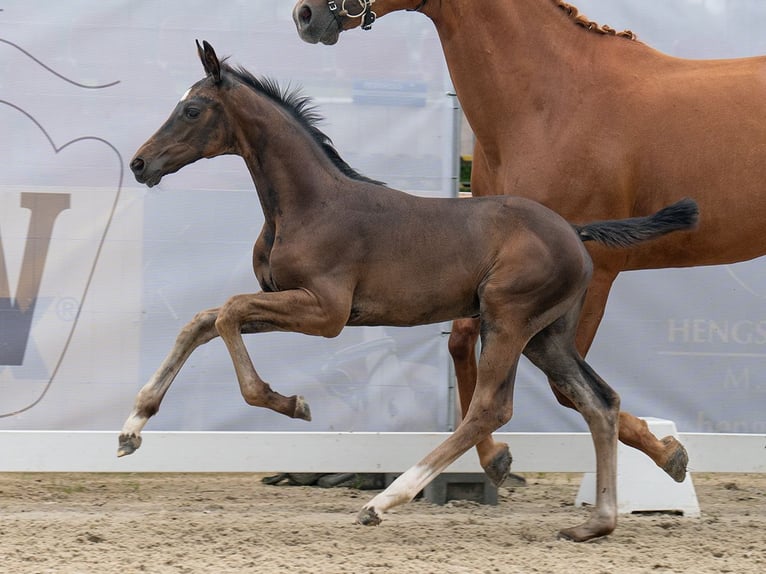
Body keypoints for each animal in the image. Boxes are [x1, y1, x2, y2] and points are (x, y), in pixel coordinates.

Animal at [118, 42, 696, 544]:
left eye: (192, 109)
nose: (140, 164)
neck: (308, 204)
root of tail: (576, 232)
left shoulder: (326, 311)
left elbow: (227, 315)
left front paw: (291, 403)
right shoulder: (293, 302)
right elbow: (204, 320)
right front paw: (132, 428)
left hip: (507, 319)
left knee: (491, 409)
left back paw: (384, 500)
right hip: (546, 336)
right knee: (599, 401)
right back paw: (597, 522)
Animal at [296, 0, 766, 486]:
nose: (305, 15)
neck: (548, 103)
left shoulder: (592, 271)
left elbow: (567, 389)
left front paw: (670, 452)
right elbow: (462, 343)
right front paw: (493, 457)